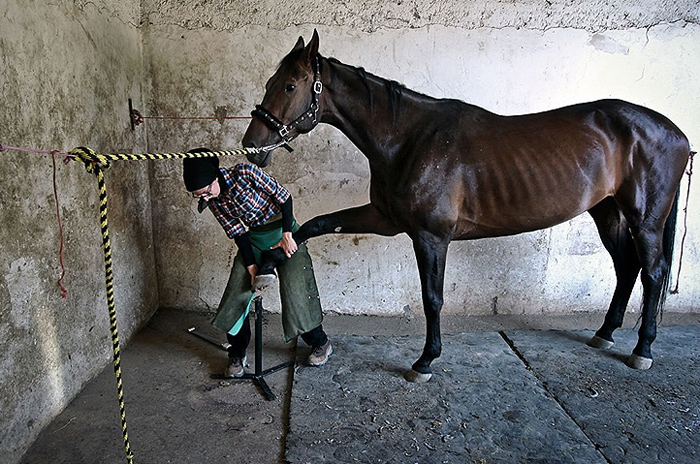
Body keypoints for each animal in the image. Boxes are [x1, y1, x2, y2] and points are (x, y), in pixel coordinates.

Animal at [241, 30, 688, 382]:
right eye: (270, 81)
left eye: (290, 86)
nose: (252, 146)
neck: (409, 139)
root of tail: (676, 133)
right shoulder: (384, 219)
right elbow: (313, 226)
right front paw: (267, 266)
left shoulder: (431, 237)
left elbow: (432, 298)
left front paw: (425, 361)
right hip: (607, 212)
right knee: (627, 267)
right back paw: (605, 333)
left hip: (645, 220)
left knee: (652, 273)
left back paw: (642, 350)